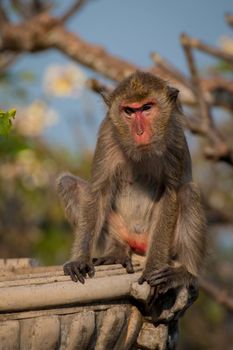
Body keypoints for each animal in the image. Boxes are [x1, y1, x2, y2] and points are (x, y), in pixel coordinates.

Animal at [57, 71, 207, 296]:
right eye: (129, 111)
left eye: (146, 108)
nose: (139, 132)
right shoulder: (107, 133)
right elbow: (98, 191)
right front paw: (80, 259)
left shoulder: (174, 138)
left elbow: (171, 193)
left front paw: (153, 269)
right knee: (68, 183)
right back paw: (117, 250)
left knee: (189, 192)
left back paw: (185, 273)